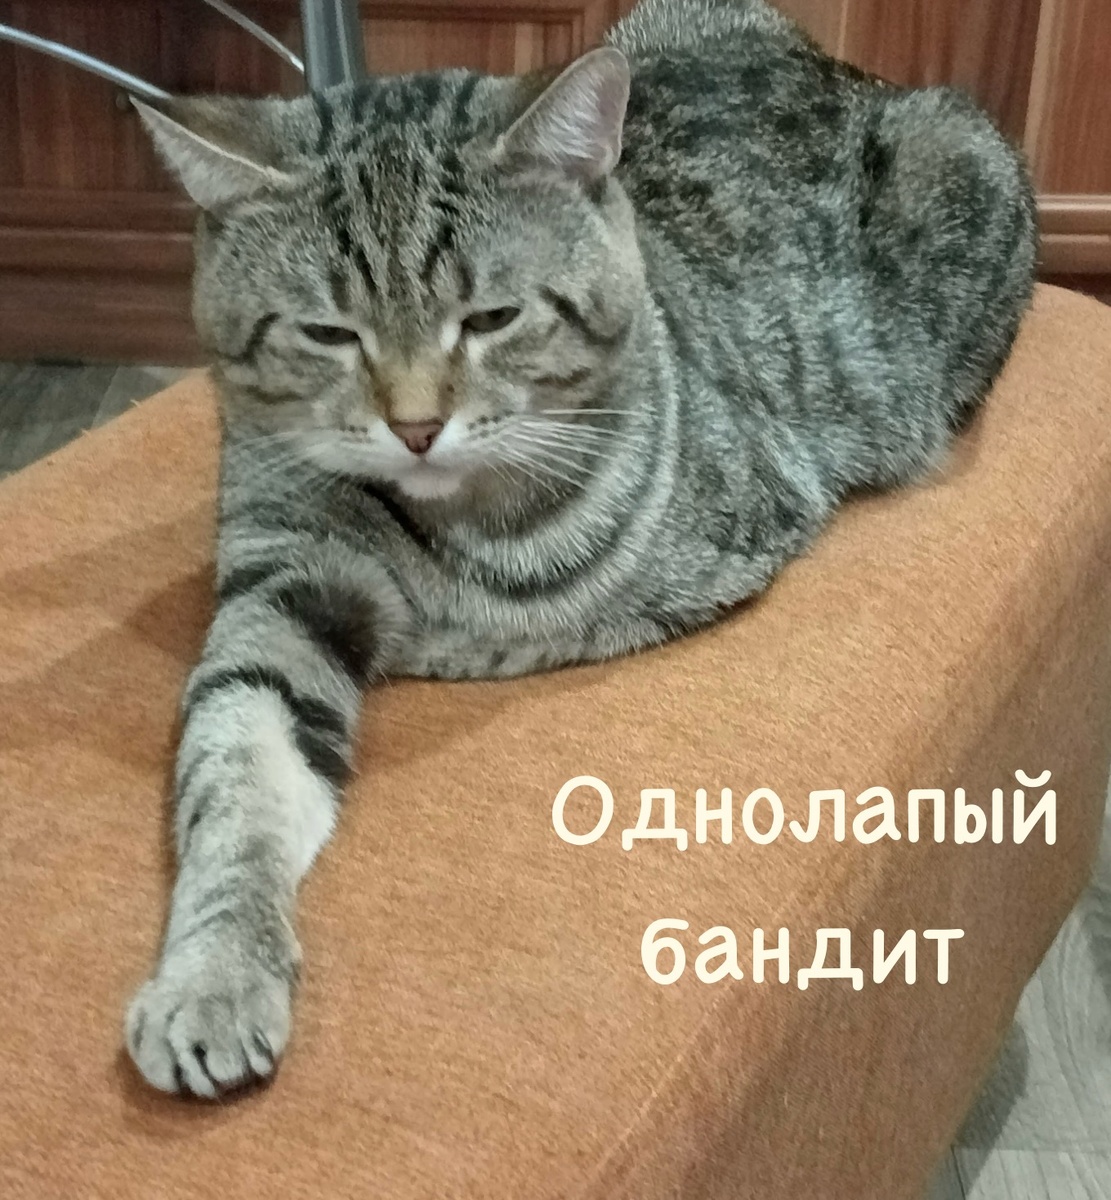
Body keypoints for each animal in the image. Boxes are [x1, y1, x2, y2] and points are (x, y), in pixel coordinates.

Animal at [125, 0, 1037, 1097]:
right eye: (327, 333)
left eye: (490, 318)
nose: (415, 426)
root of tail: (833, 64)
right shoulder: (281, 574)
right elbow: (233, 773)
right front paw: (213, 973)